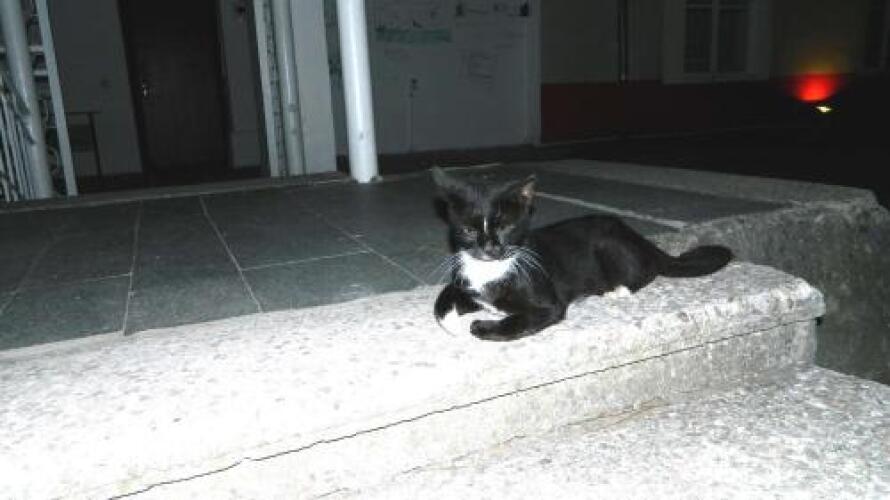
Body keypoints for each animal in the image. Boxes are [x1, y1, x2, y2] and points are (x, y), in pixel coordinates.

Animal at [431, 167, 733, 341]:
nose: (489, 248)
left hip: (611, 246)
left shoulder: (549, 304)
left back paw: (618, 290)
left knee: (648, 270)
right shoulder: (467, 286)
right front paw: (454, 325)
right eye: (469, 230)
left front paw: (479, 327)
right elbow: (441, 301)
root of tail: (640, 238)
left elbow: (519, 321)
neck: (491, 270)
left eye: (505, 227)